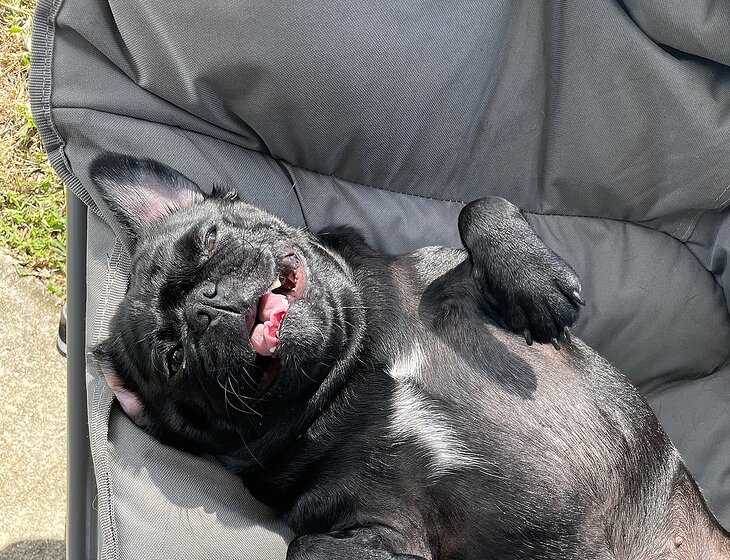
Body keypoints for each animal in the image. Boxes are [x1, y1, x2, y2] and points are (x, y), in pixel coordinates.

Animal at [92, 153, 729, 559]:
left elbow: (480, 205)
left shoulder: (449, 278)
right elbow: (306, 549)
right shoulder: (375, 517)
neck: (355, 365)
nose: (205, 306)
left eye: (209, 240)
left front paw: (535, 284)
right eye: (174, 359)